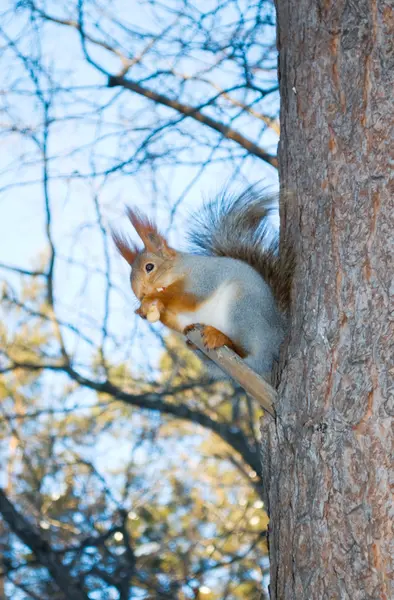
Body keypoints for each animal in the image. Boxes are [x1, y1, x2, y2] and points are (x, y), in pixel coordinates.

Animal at [111, 188, 292, 382]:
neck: (178, 271)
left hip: (243, 308)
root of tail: (278, 336)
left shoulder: (203, 277)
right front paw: (146, 309)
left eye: (149, 267)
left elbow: (189, 295)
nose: (141, 294)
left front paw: (155, 298)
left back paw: (220, 337)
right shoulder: (179, 318)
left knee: (251, 355)